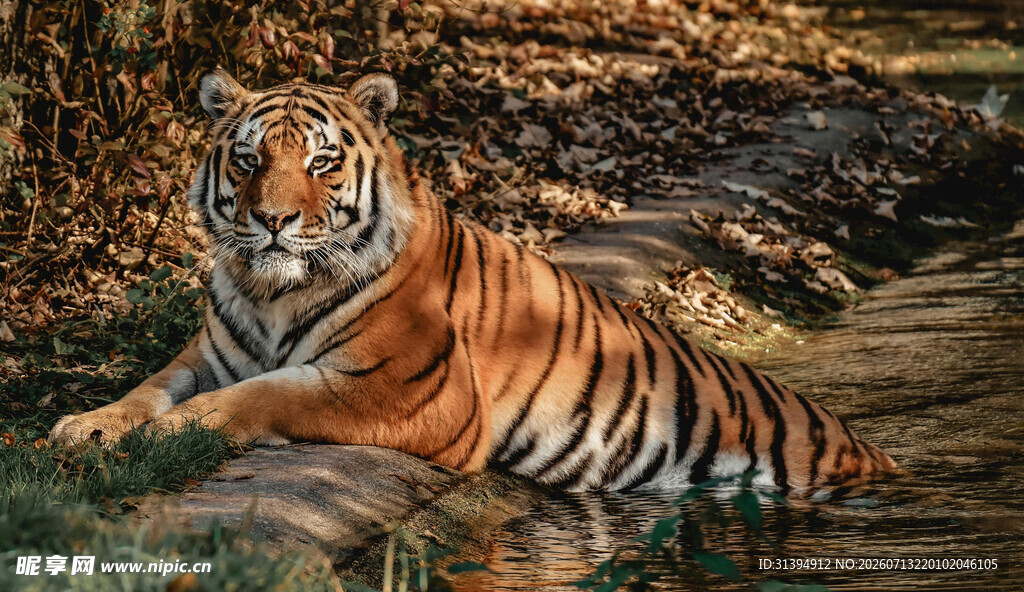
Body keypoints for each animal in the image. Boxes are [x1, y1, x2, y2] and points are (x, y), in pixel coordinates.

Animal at [48, 69, 897, 492]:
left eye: (321, 162)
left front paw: (167, 434)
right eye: (250, 159)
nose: (273, 221)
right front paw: (88, 425)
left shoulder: (410, 387)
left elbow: (268, 395)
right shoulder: (207, 355)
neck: (273, 291)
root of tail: (870, 450)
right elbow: (150, 387)